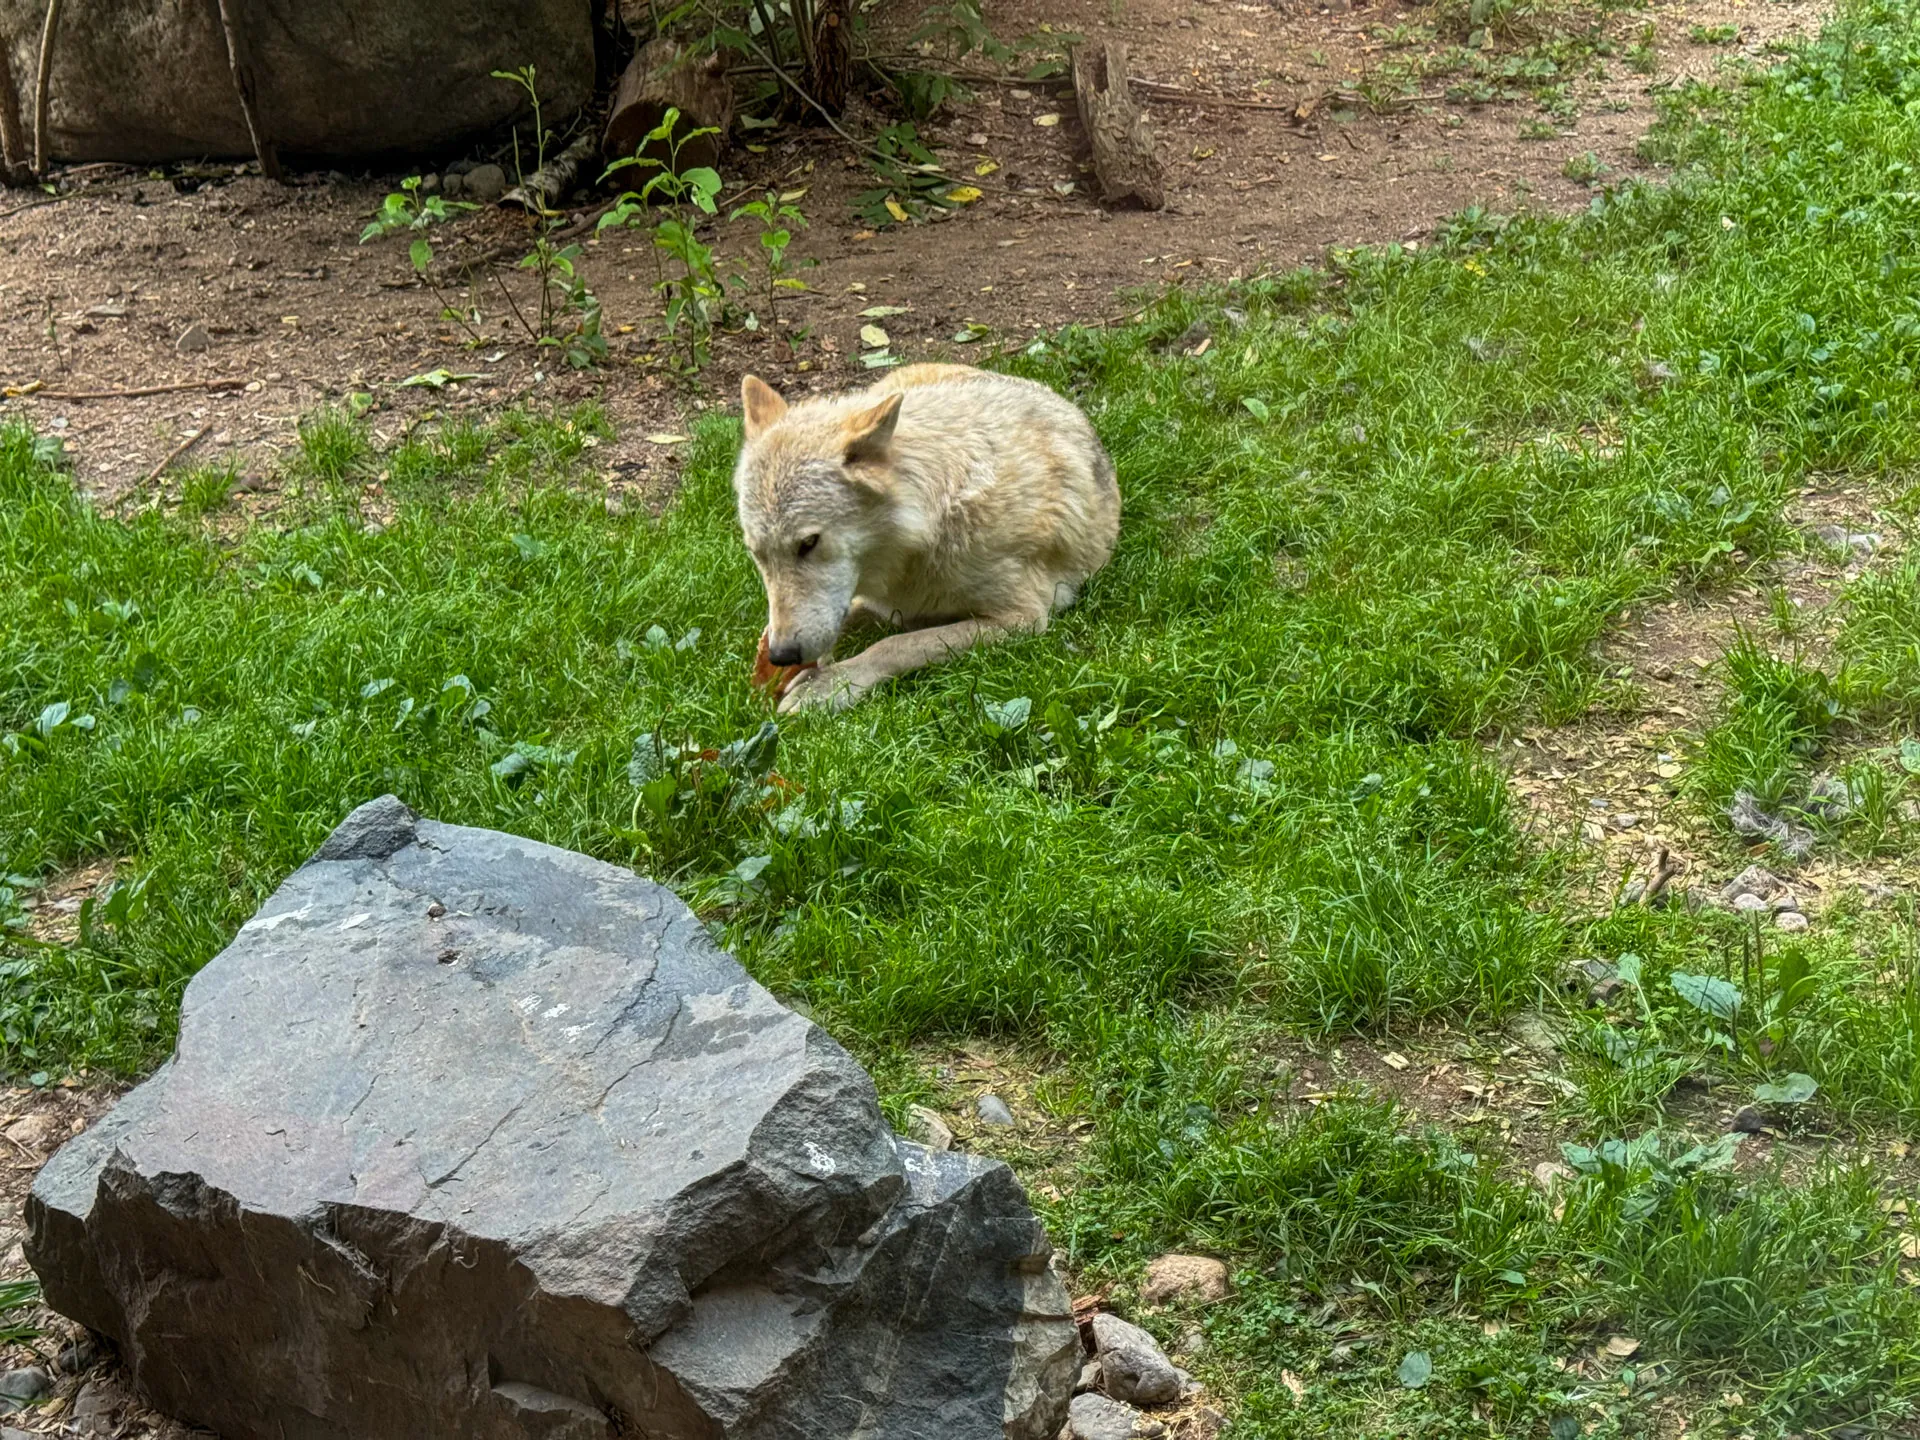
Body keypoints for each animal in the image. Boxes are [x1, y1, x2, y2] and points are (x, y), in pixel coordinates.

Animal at [733, 363, 1121, 713]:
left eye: (808, 543)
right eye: (758, 554)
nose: (782, 655)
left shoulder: (1023, 618)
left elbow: (895, 645)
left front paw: (831, 685)